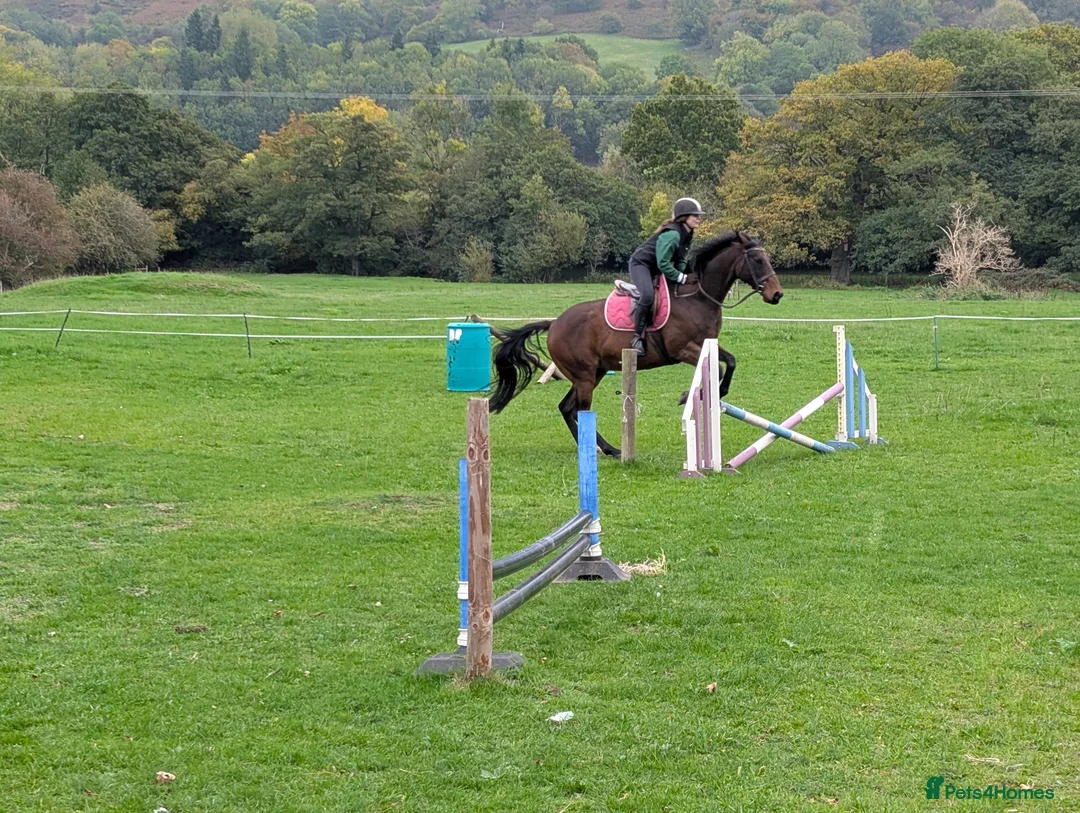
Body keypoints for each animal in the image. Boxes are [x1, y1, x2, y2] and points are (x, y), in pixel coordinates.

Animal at [488, 231, 784, 458]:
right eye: (758, 259)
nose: (777, 294)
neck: (697, 297)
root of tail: (554, 323)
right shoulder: (683, 350)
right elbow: (719, 370)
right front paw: (687, 396)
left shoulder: (707, 345)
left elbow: (730, 362)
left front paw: (714, 393)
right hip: (585, 376)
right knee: (579, 409)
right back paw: (601, 448)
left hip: (593, 373)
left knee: (566, 408)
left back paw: (607, 449)